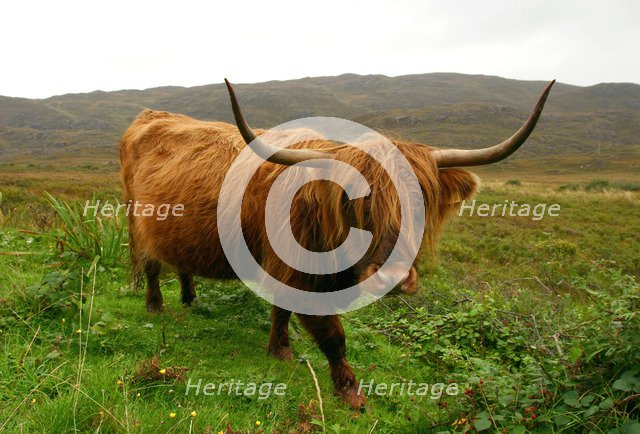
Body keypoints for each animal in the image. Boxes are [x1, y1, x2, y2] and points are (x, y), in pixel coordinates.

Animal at [119, 78, 554, 408]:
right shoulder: (300, 275)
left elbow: (281, 311)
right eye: (354, 203)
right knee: (151, 263)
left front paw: (279, 349)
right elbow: (333, 337)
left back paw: (190, 297)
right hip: (136, 219)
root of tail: (149, 116)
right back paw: (156, 305)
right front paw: (350, 393)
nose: (394, 277)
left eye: (419, 202)